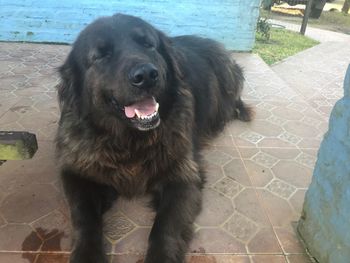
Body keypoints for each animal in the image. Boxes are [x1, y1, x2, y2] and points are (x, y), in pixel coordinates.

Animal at [56, 13, 250, 262]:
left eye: (148, 44)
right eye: (101, 55)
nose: (146, 76)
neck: (130, 142)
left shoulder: (182, 177)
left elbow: (164, 228)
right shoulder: (77, 172)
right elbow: (84, 217)